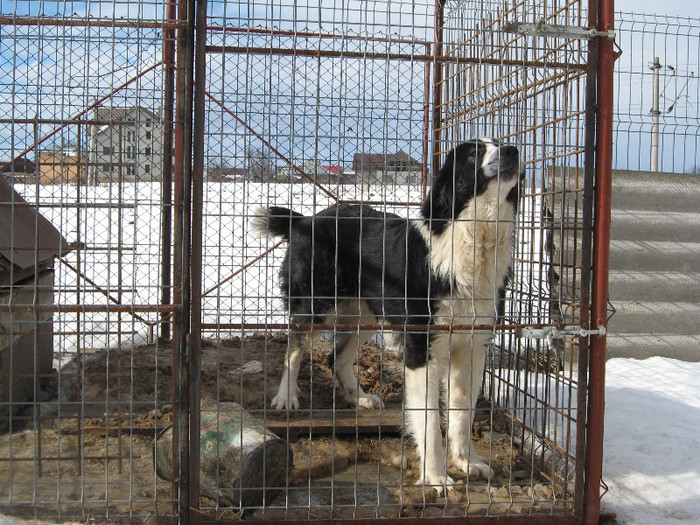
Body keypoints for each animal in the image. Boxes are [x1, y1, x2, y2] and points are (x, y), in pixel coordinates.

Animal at [250, 138, 520, 492]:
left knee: (336, 357)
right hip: (315, 304)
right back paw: (286, 397)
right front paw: (435, 477)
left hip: (366, 313)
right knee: (293, 348)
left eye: (501, 144)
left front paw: (465, 462)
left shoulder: (472, 346)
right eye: (474, 154)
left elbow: (463, 412)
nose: (513, 151)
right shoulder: (421, 349)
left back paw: (358, 397)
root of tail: (305, 220)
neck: (473, 236)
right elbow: (429, 421)